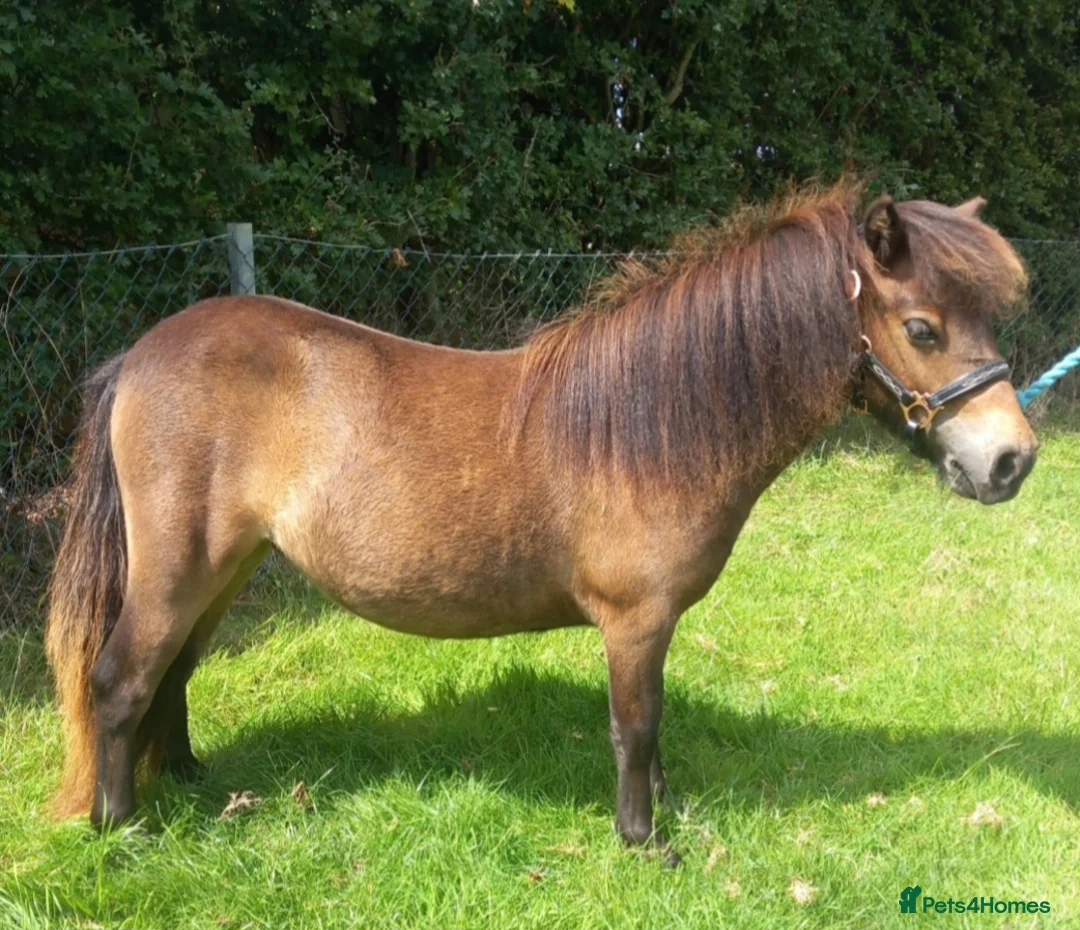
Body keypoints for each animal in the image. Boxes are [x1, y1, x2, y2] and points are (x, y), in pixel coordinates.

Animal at [45, 183, 1037, 861]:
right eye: (922, 327)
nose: (1012, 461)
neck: (654, 422)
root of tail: (139, 356)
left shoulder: (652, 626)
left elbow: (654, 729)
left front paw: (667, 810)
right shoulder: (634, 621)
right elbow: (635, 726)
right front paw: (644, 840)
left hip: (226, 565)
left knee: (172, 673)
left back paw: (192, 783)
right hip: (177, 570)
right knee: (119, 682)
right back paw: (123, 830)